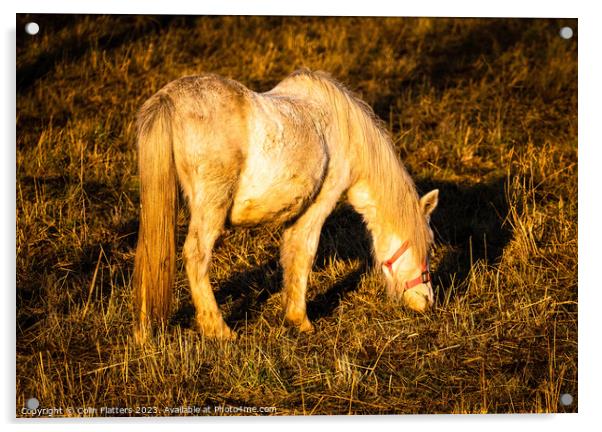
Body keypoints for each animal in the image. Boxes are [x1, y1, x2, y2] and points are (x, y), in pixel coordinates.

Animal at [132, 70, 436, 340]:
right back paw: (218, 330)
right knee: (196, 256)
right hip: (210, 207)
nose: (427, 301)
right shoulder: (318, 206)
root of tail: (169, 99)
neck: (343, 129)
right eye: (428, 245)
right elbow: (304, 253)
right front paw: (300, 320)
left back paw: (144, 332)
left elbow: (290, 253)